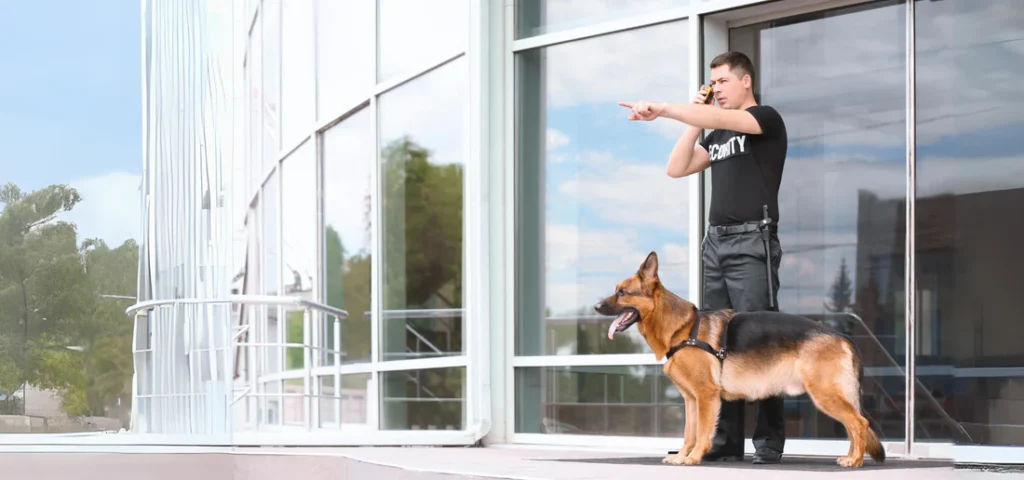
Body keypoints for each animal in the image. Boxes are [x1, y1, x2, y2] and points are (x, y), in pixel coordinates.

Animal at [594, 251, 885, 468]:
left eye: (622, 292)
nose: (596, 307)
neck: (683, 329)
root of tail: (842, 336)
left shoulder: (706, 396)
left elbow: (702, 432)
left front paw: (694, 458)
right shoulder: (691, 399)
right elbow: (689, 432)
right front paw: (682, 456)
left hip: (824, 394)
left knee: (859, 423)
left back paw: (856, 461)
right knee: (853, 425)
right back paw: (850, 456)